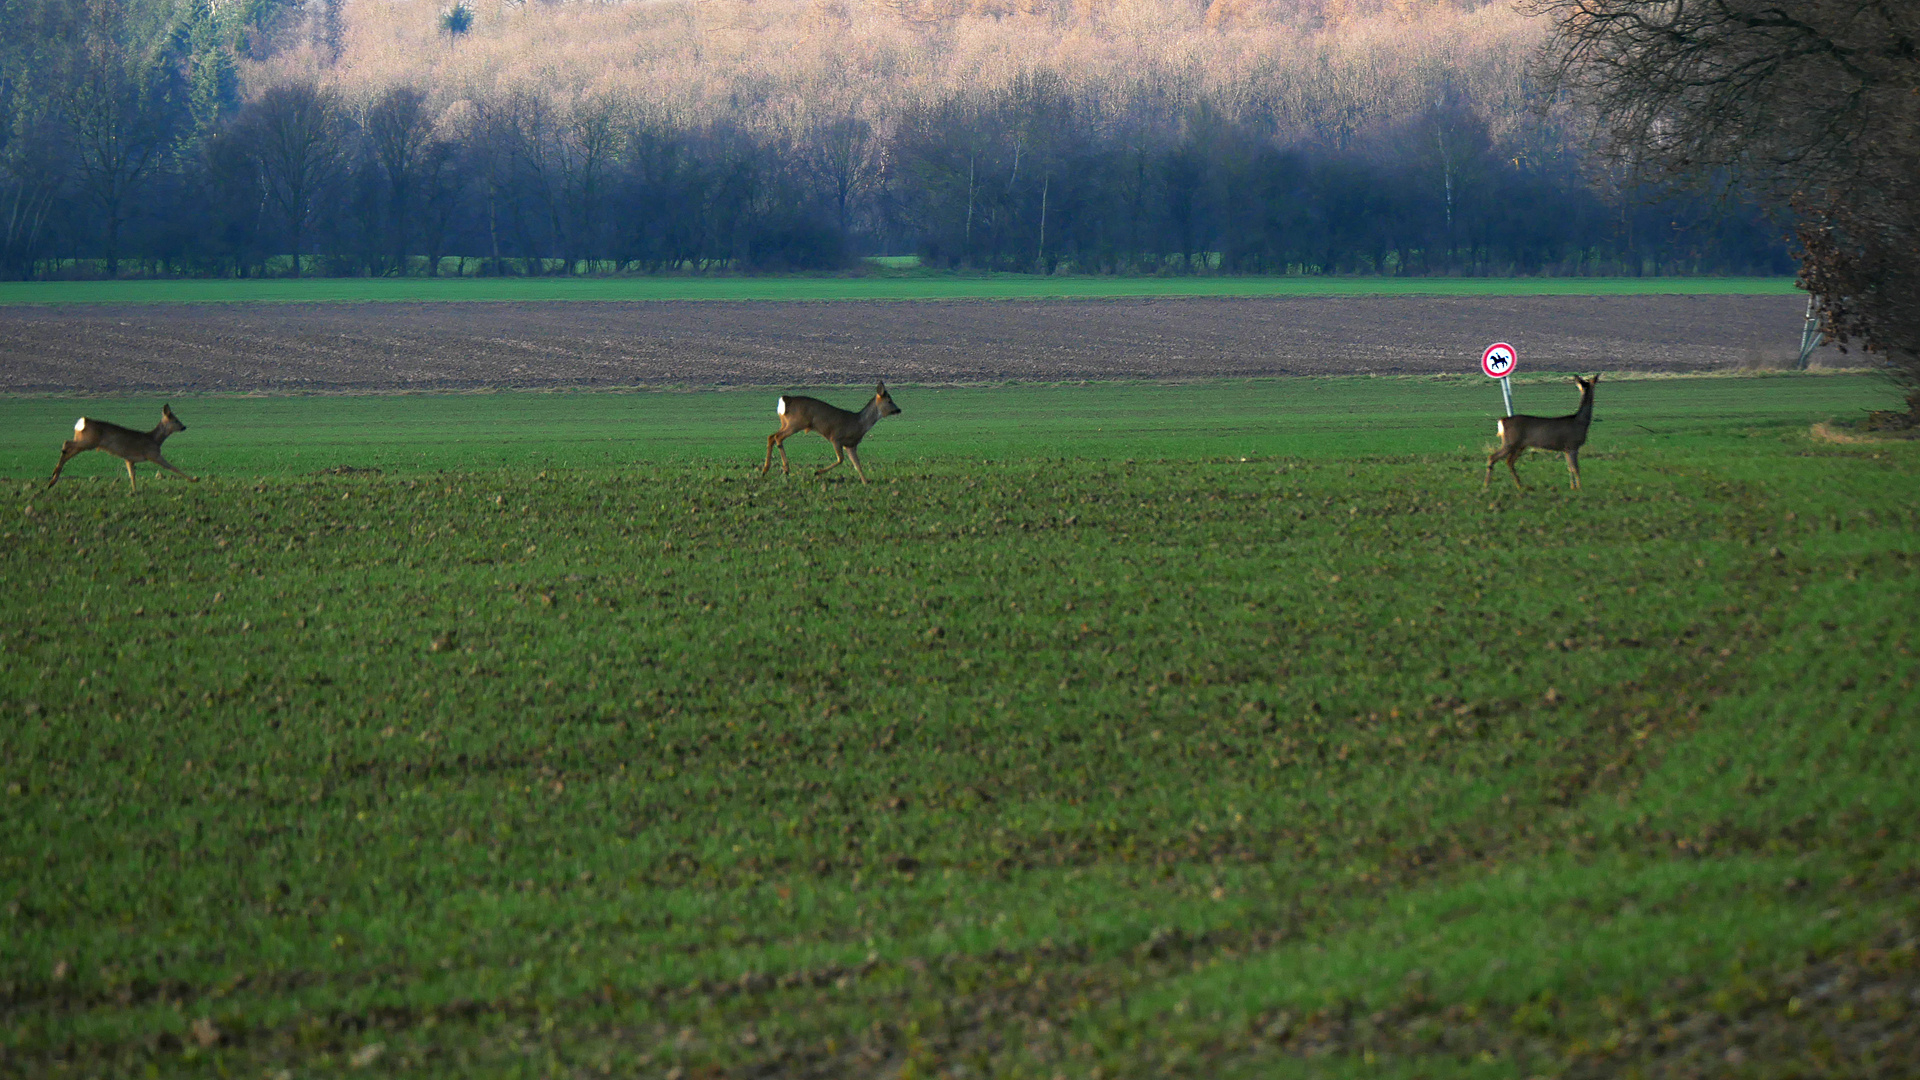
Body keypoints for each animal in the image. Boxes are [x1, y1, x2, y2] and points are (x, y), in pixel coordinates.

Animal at [47, 401, 195, 490]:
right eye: (176, 420)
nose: (184, 427)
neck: (155, 439)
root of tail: (83, 421)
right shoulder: (153, 454)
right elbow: (172, 467)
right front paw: (194, 479)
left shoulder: (129, 459)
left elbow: (132, 475)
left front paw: (134, 491)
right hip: (88, 442)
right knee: (67, 444)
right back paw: (54, 475)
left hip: (85, 442)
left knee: (67, 448)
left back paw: (52, 480)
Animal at [760, 378, 902, 478]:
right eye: (889, 401)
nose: (898, 410)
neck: (859, 423)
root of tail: (785, 399)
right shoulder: (836, 437)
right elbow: (841, 459)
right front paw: (817, 472)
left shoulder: (851, 445)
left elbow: (858, 465)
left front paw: (866, 482)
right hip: (795, 423)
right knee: (778, 437)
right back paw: (786, 469)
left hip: (785, 423)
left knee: (771, 436)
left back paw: (765, 470)